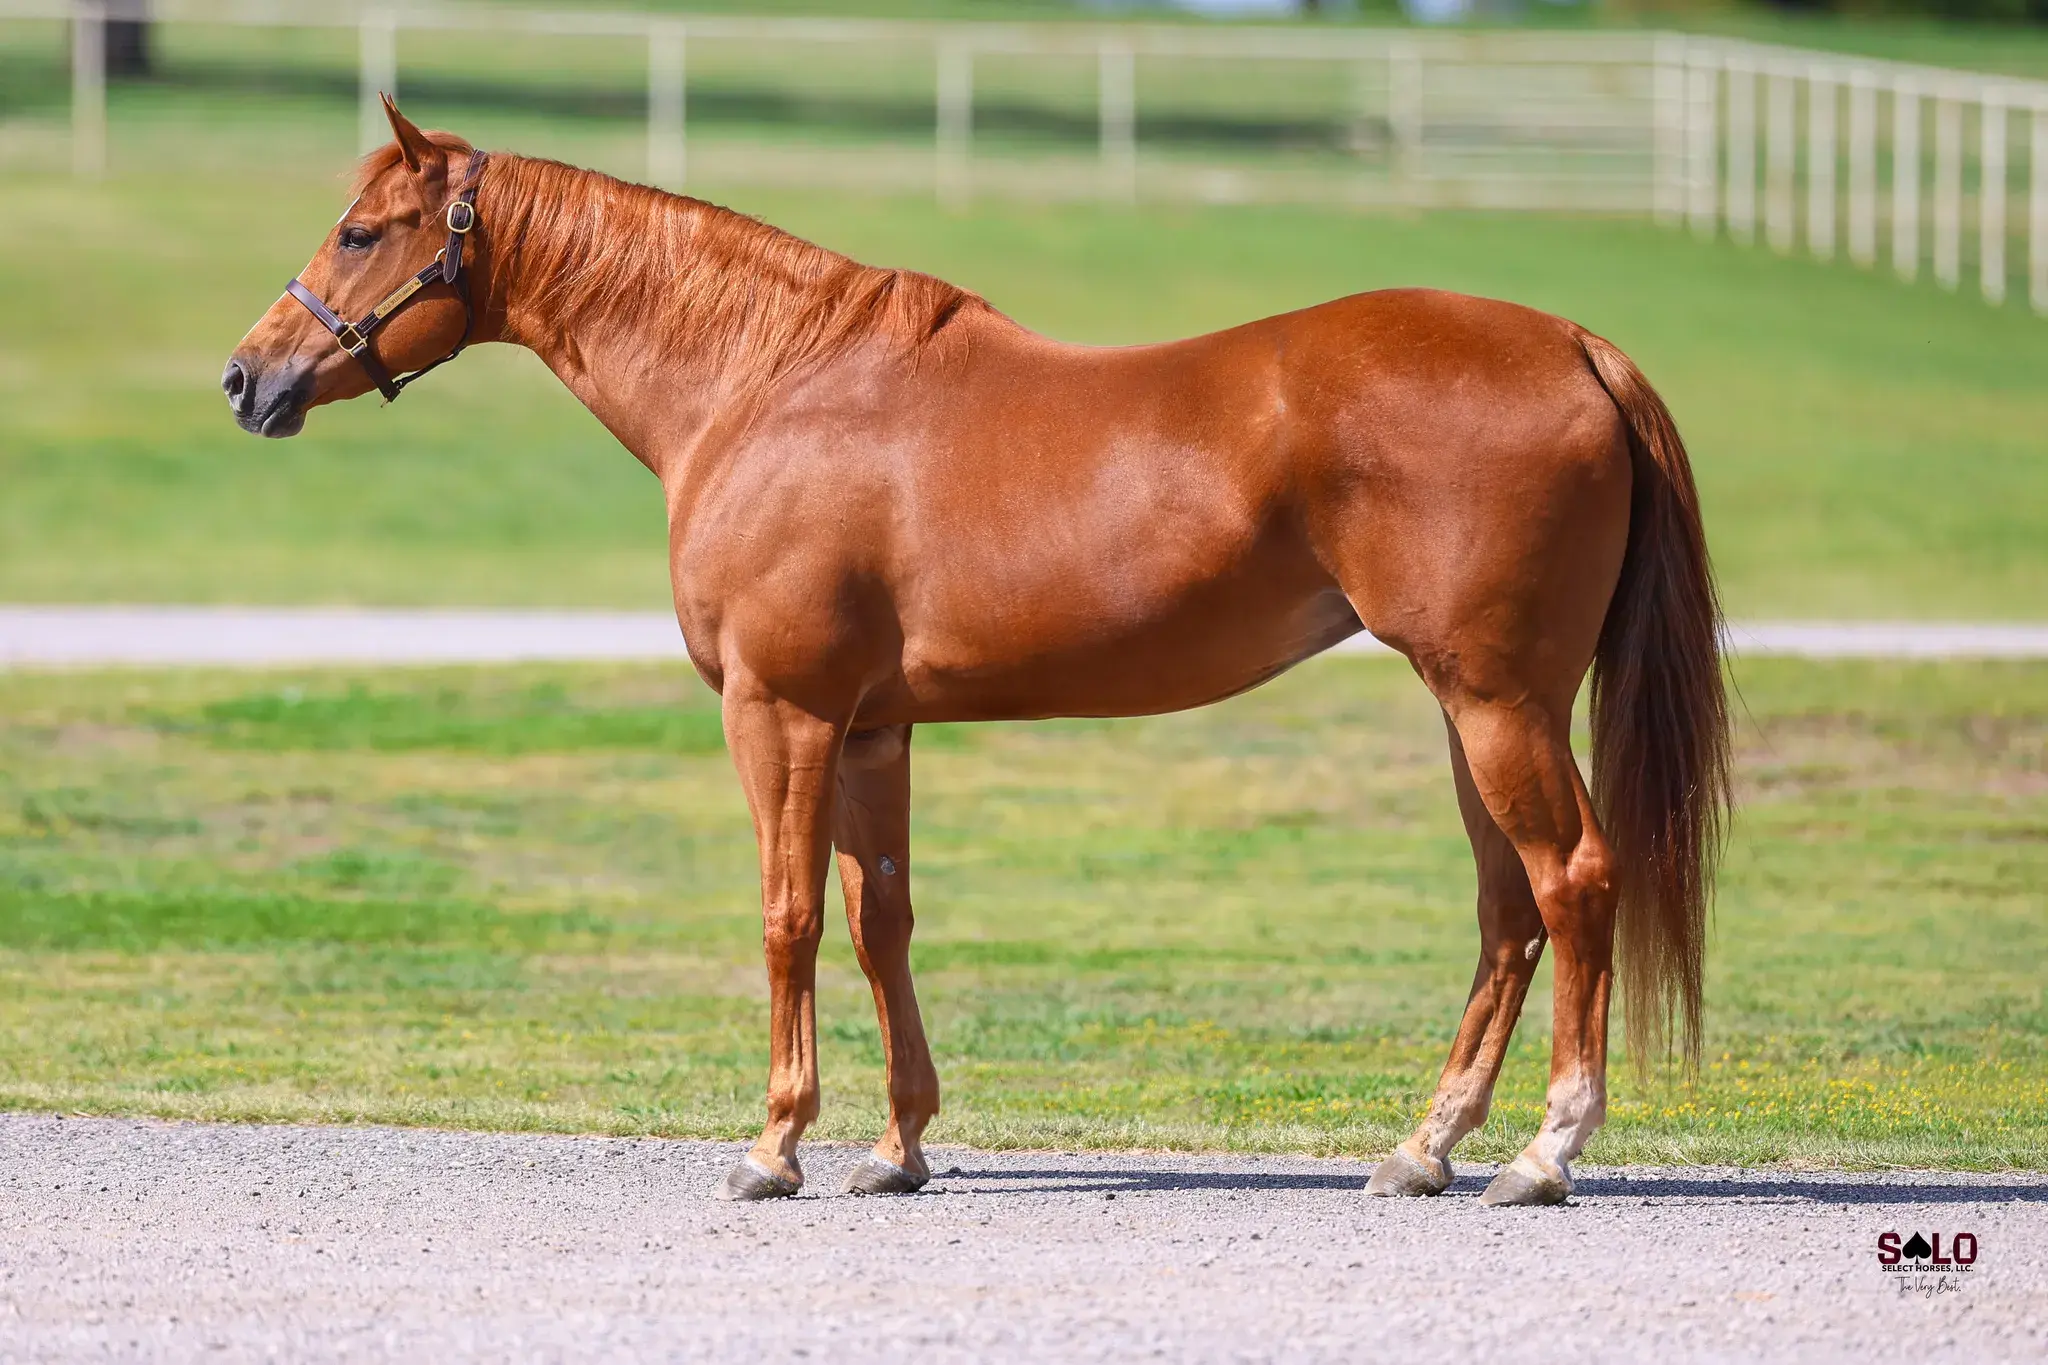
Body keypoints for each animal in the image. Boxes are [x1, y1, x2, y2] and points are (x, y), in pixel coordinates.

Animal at [225, 99, 1729, 1208]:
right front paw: (896, 1149)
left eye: (363, 231)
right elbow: (878, 919)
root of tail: (1574, 346)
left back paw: (1544, 1151)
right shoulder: (870, 728)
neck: (765, 386)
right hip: (1475, 710)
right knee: (1507, 912)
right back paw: (1424, 1148)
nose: (247, 378)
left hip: (1497, 702)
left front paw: (774, 1147)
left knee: (1573, 883)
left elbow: (786, 917)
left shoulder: (782, 712)